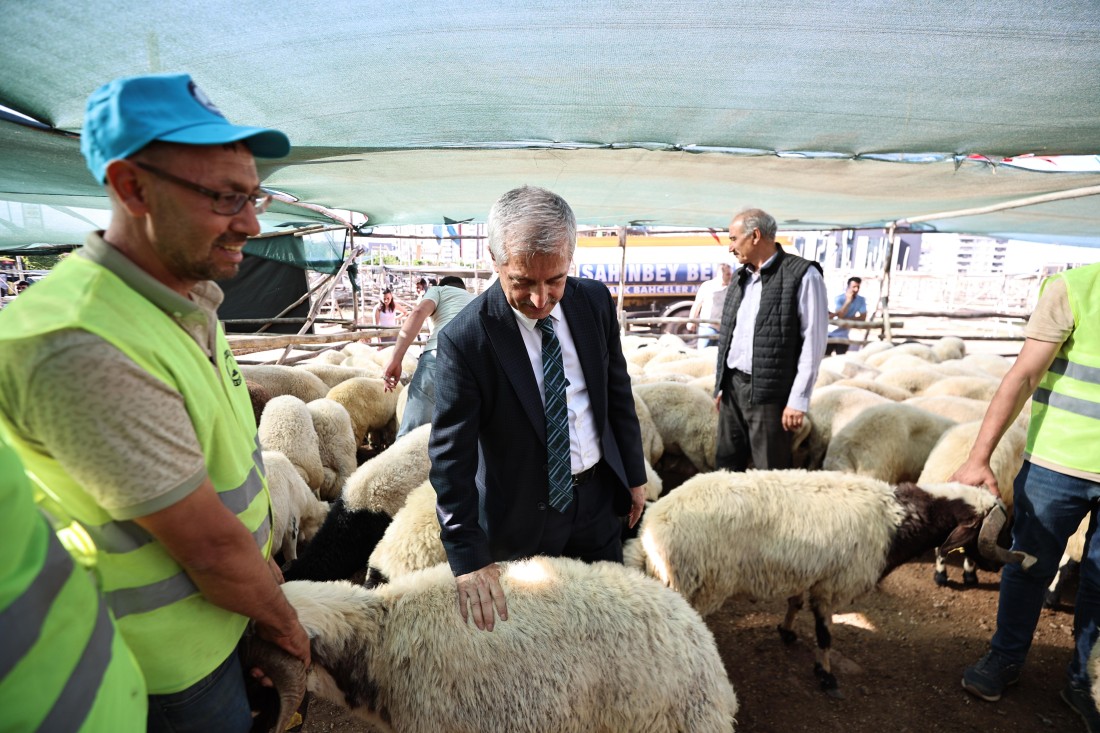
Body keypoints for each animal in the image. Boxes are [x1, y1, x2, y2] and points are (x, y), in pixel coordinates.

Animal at [629, 468, 1029, 691]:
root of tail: (650, 529)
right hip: (697, 583)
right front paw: (825, 674)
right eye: (991, 530)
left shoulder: (808, 573)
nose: (997, 568)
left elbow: (794, 602)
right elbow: (824, 634)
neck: (895, 521)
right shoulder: (832, 585)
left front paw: (787, 631)